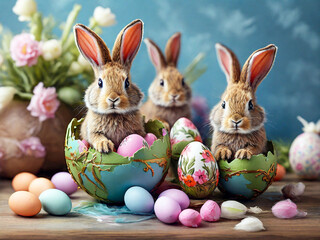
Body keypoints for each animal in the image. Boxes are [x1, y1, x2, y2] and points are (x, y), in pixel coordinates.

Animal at [74, 19, 145, 153]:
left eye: (127, 82)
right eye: (100, 82)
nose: (113, 99)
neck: (114, 115)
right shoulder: (92, 131)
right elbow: (96, 136)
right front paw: (105, 146)